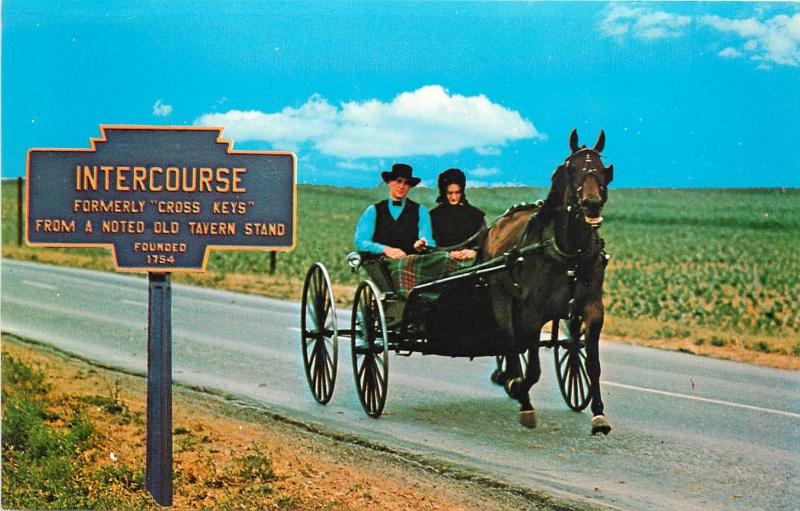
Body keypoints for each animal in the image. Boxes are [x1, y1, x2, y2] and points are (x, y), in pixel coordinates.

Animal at [482, 129, 612, 436]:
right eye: (572, 169)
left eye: (603, 169)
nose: (591, 204)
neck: (570, 253)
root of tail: (496, 226)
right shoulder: (532, 311)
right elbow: (533, 369)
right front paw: (521, 394)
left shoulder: (592, 309)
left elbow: (593, 364)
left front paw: (599, 414)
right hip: (501, 298)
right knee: (509, 341)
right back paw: (513, 383)